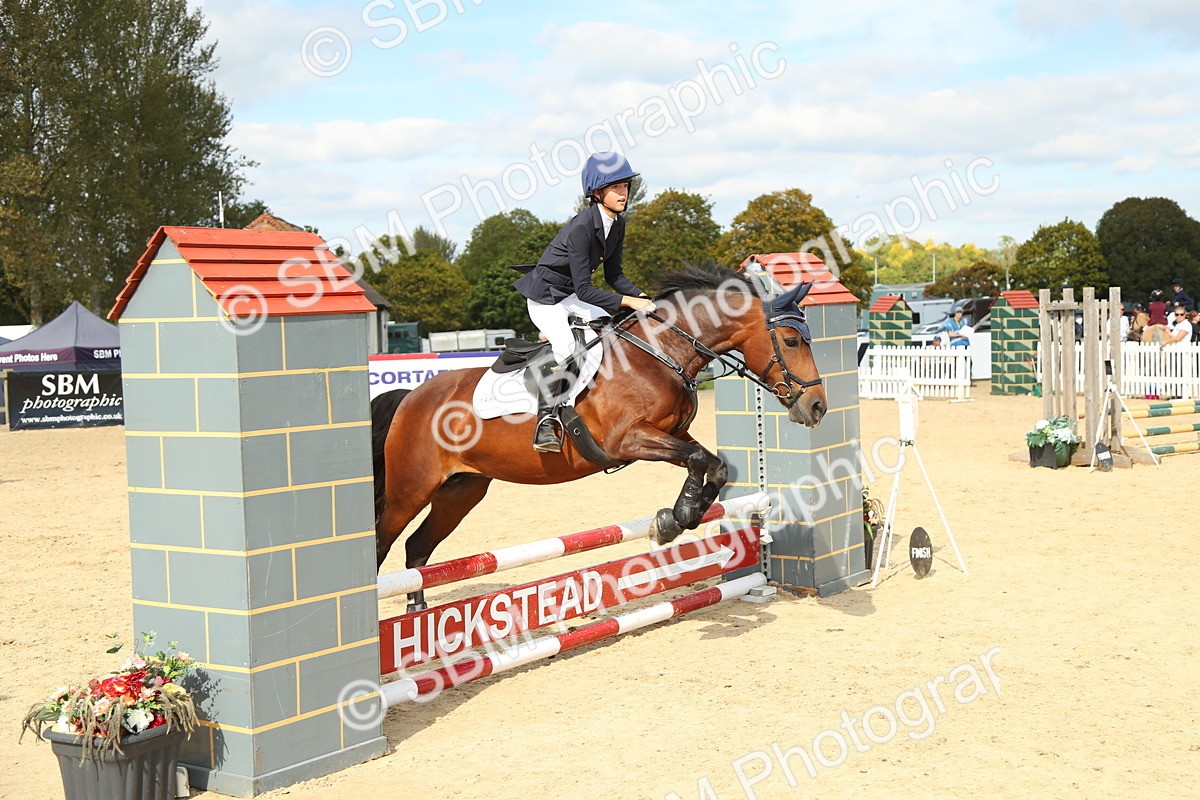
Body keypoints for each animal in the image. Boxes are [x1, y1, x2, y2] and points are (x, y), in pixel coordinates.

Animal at [371, 262, 828, 611]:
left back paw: (418, 616)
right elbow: (699, 460)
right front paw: (675, 518)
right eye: (791, 341)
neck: (660, 352)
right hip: (410, 489)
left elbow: (715, 465)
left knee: (417, 547)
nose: (817, 408)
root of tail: (411, 396)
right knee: (382, 543)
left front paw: (680, 516)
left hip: (461, 490)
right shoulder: (627, 440)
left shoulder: (674, 433)